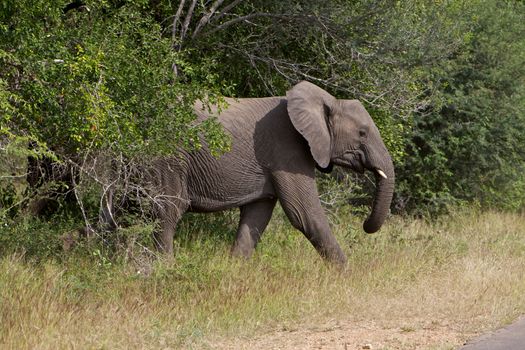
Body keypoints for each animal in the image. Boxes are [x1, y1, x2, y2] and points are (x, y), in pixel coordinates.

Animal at [147, 80, 392, 264]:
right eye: (362, 133)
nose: (365, 225)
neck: (327, 101)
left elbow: (257, 215)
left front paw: (235, 269)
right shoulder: (287, 150)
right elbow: (305, 214)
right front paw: (348, 277)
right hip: (169, 158)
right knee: (168, 212)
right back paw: (165, 268)